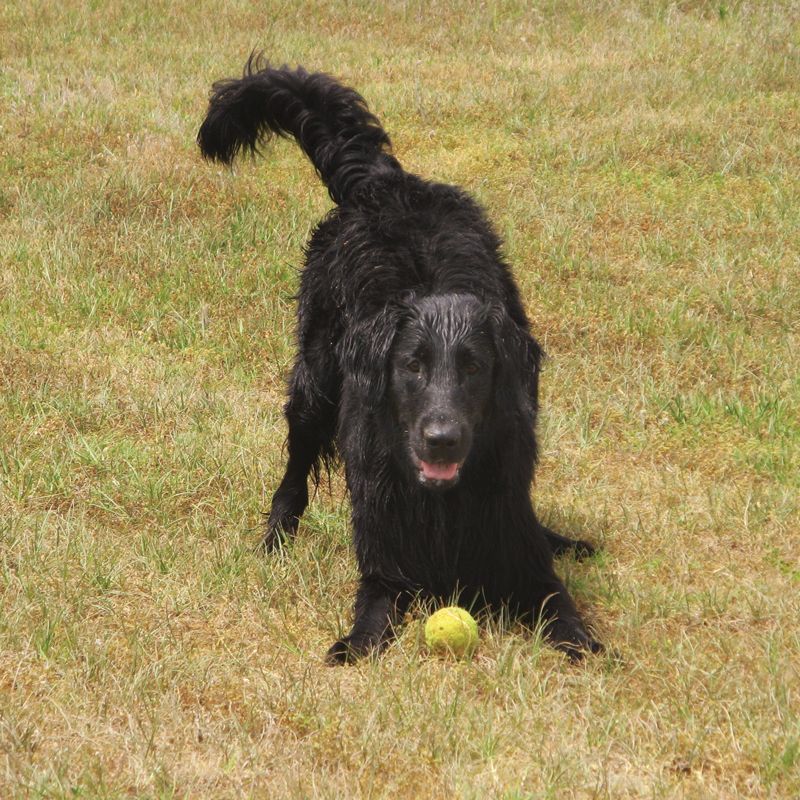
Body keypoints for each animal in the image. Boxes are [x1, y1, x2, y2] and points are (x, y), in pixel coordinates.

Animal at [198, 56, 600, 664]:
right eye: (412, 366)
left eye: (474, 367)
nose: (442, 440)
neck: (441, 499)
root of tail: (385, 181)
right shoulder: (385, 565)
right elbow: (373, 615)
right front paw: (350, 646)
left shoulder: (517, 546)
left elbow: (560, 605)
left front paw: (588, 644)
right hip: (314, 383)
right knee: (295, 468)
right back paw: (276, 537)